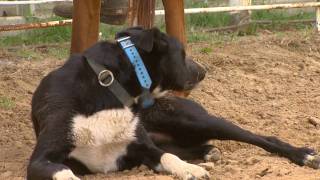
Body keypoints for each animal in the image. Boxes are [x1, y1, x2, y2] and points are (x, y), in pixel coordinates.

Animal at [28, 27, 320, 180]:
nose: (203, 71)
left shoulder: (144, 148)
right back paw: (207, 152)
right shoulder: (40, 160)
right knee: (187, 146)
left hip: (197, 120)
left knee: (262, 137)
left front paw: (191, 170)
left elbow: (168, 157)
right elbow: (64, 172)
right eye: (182, 53)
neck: (109, 86)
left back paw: (302, 155)